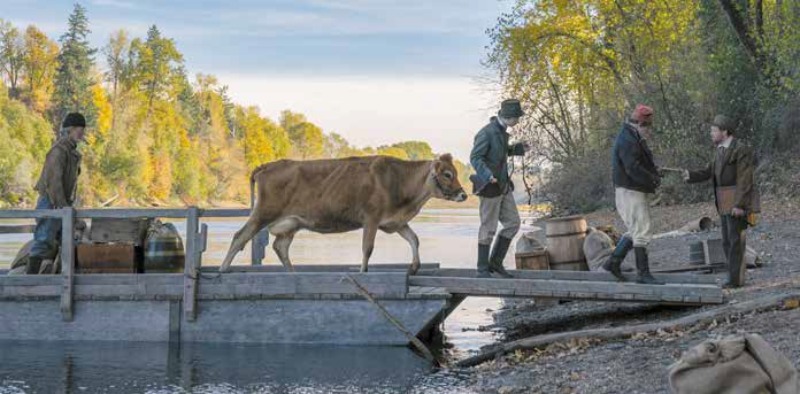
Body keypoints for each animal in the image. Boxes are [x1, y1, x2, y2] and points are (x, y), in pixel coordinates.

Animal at [219, 154, 468, 274]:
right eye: (447, 174)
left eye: (454, 172)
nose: (464, 194)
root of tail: (267, 165)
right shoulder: (371, 218)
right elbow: (367, 248)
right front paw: (363, 271)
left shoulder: (395, 222)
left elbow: (414, 239)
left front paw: (415, 267)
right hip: (263, 212)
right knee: (240, 236)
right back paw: (223, 269)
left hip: (290, 224)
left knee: (280, 247)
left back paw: (293, 273)